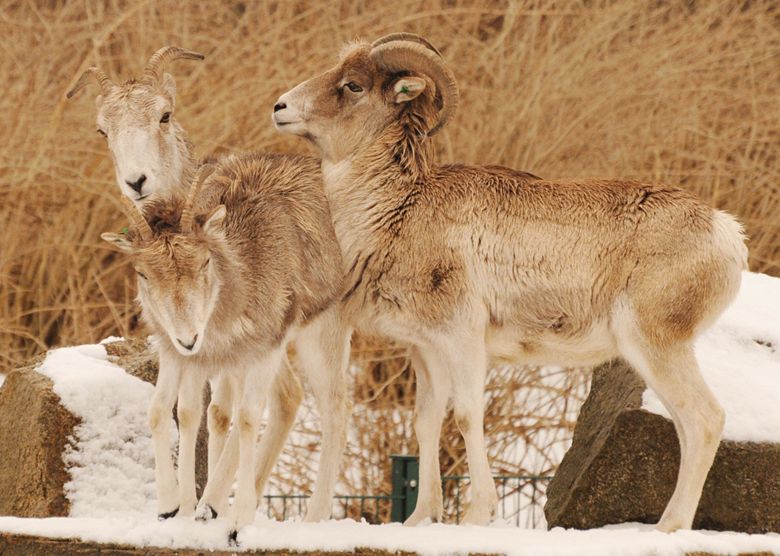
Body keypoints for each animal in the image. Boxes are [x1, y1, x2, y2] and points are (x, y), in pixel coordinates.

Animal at [272, 32, 748, 532]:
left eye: (353, 85)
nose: (280, 106)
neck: (397, 213)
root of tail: (725, 233)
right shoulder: (426, 352)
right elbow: (427, 424)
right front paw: (421, 520)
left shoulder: (463, 342)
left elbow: (465, 418)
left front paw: (476, 516)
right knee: (686, 426)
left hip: (656, 347)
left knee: (704, 420)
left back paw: (667, 528)